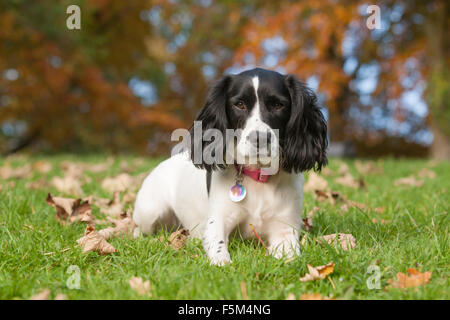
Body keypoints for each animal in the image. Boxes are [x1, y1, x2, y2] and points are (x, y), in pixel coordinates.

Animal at [133, 69, 326, 266]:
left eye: (278, 105)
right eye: (239, 104)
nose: (260, 138)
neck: (257, 176)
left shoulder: (285, 227)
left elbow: (289, 255)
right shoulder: (217, 221)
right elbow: (218, 247)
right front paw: (222, 262)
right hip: (150, 212)